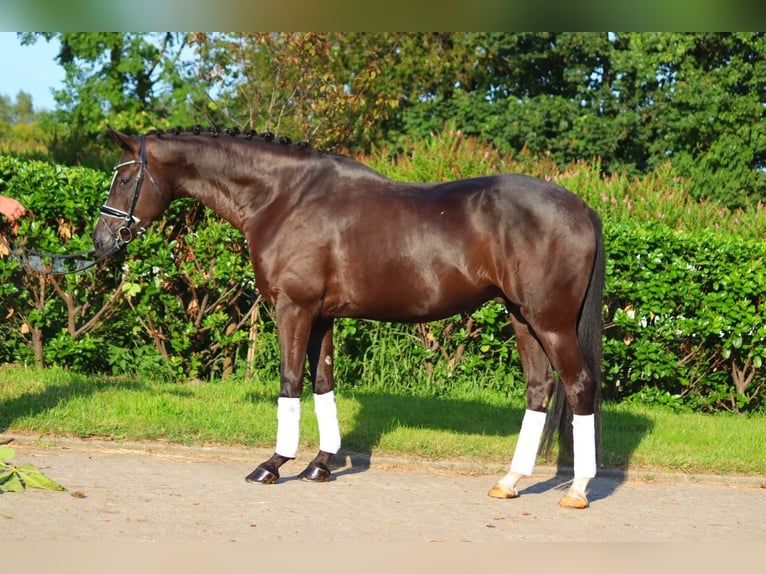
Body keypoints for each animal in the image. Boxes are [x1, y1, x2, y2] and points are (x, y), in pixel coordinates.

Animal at [93, 126, 608, 508]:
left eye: (124, 178)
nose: (101, 241)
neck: (283, 197)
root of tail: (582, 206)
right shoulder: (322, 316)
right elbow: (323, 382)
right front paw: (320, 464)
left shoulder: (293, 308)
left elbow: (289, 381)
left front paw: (273, 465)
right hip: (523, 319)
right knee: (540, 389)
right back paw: (510, 481)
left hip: (551, 323)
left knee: (580, 385)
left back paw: (578, 489)